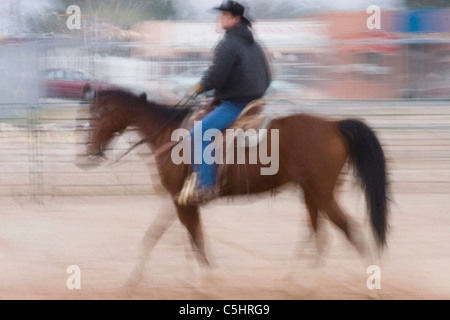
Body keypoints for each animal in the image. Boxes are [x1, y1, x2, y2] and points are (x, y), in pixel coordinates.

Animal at [77, 89, 386, 288]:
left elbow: (194, 239)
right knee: (317, 232)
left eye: (98, 114)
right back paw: (294, 278)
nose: (89, 151)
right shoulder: (179, 199)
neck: (169, 135)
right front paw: (136, 278)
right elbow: (160, 236)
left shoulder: (180, 200)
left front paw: (207, 279)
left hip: (321, 192)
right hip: (312, 192)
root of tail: (334, 126)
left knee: (346, 229)